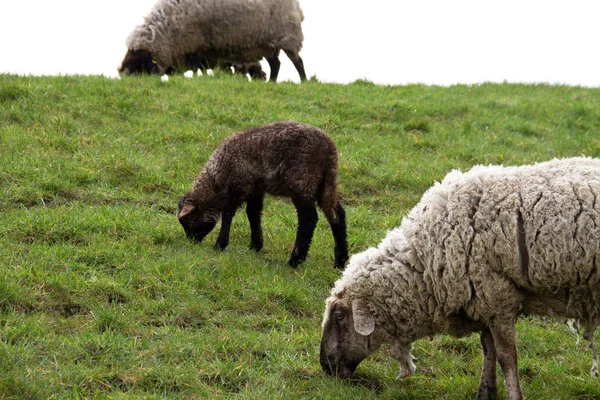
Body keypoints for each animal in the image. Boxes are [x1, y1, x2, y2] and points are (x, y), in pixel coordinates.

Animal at [118, 0, 304, 82]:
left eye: (138, 58)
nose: (122, 73)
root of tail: (297, 7)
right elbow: (199, 67)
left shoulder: (198, 42)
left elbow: (195, 67)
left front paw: (194, 79)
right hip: (267, 43)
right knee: (276, 64)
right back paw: (272, 82)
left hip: (287, 36)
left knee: (297, 61)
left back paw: (304, 81)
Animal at [176, 120, 350, 268]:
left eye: (188, 221)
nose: (192, 241)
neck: (216, 179)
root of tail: (328, 148)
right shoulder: (256, 188)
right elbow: (253, 213)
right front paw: (255, 246)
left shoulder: (239, 184)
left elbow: (228, 214)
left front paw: (220, 245)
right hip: (326, 182)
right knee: (337, 215)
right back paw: (340, 261)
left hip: (303, 180)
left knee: (309, 219)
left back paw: (295, 260)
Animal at [322, 157, 600, 400]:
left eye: (339, 316)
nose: (325, 367)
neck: (424, 262)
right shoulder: (483, 300)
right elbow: (488, 349)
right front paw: (486, 393)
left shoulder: (497, 297)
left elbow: (507, 358)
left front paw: (512, 394)